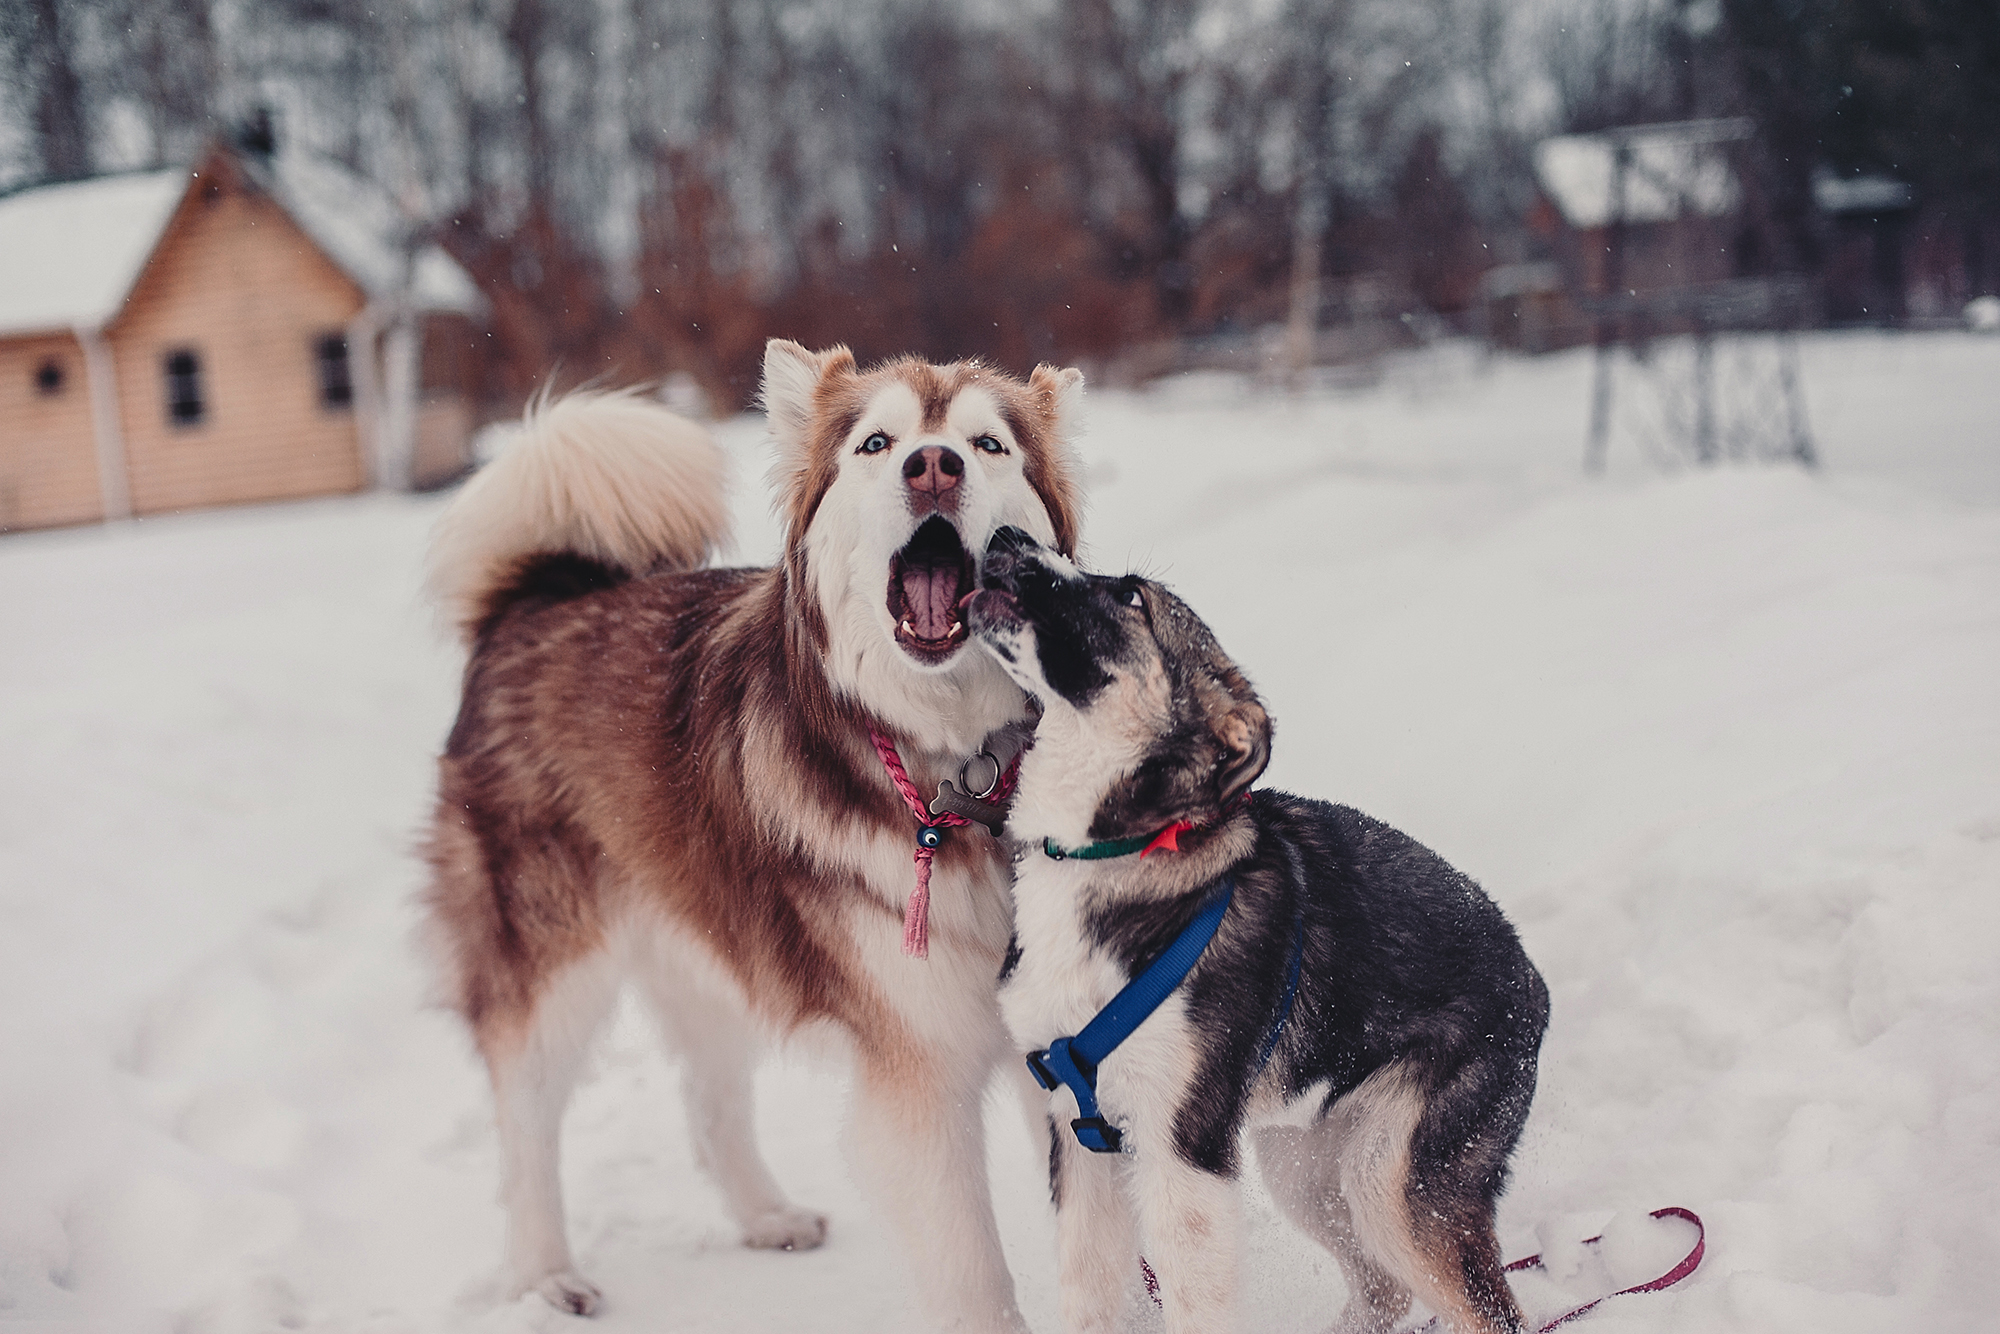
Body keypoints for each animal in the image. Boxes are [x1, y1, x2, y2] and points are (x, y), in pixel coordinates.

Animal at [968, 528, 1544, 1334]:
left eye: (1131, 596)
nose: (1006, 535)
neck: (1110, 852)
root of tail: (1532, 979)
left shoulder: (1183, 1151)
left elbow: (1193, 1303)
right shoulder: (1081, 1139)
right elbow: (1090, 1296)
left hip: (1394, 1180)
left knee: (1483, 1309)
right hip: (1300, 1161)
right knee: (1382, 1291)